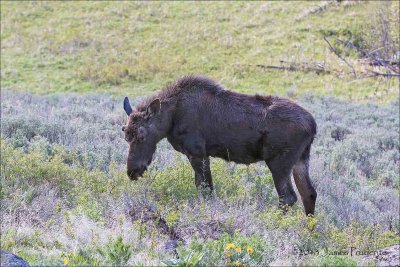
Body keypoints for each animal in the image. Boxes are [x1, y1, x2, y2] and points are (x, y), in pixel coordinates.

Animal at [123, 76, 318, 216]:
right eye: (125, 133)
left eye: (142, 135)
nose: (132, 171)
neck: (170, 118)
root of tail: (313, 125)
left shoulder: (197, 152)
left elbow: (205, 188)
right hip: (301, 159)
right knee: (309, 193)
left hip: (279, 161)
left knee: (288, 197)